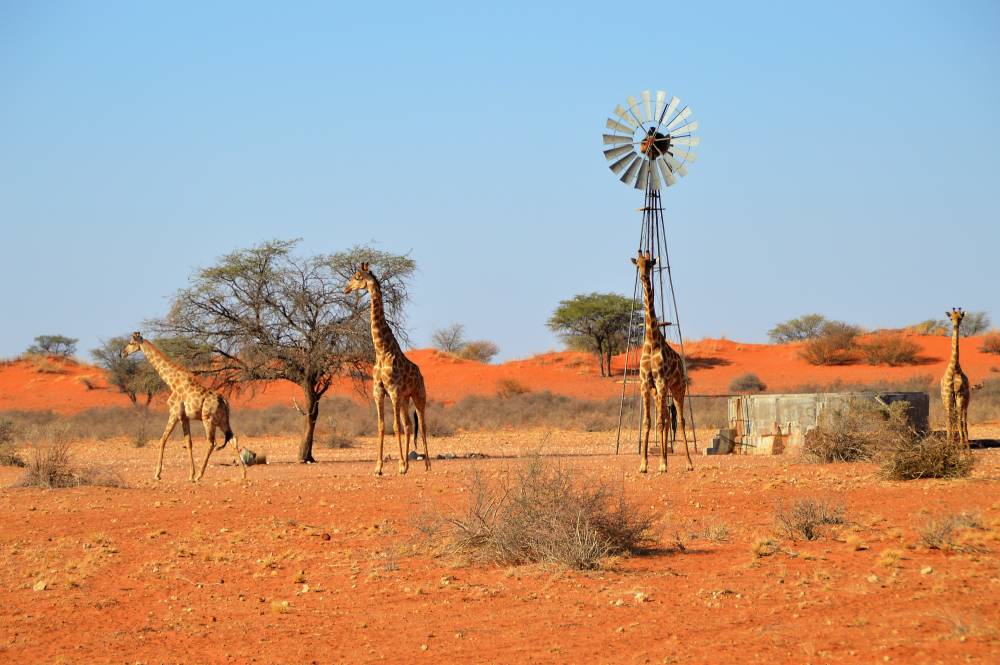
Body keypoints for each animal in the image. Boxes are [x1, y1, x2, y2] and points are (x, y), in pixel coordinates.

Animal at [121, 334, 248, 480]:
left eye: (131, 343)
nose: (122, 353)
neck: (172, 382)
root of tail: (224, 401)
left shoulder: (174, 413)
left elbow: (163, 439)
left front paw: (157, 474)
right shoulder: (184, 417)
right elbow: (188, 443)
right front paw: (190, 475)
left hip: (208, 419)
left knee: (212, 443)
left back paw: (200, 475)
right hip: (222, 421)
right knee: (233, 439)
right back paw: (243, 474)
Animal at [344, 262, 430, 474]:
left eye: (357, 276)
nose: (346, 289)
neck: (382, 351)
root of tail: (421, 374)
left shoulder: (393, 391)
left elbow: (395, 426)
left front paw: (399, 464)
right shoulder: (379, 392)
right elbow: (382, 426)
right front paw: (379, 467)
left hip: (418, 395)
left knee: (422, 424)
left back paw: (427, 464)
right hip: (405, 398)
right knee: (409, 425)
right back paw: (408, 465)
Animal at [632, 249, 696, 472]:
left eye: (650, 264)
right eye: (637, 264)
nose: (643, 276)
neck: (651, 339)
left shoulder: (660, 381)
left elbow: (659, 422)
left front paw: (661, 464)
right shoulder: (645, 383)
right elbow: (648, 422)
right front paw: (644, 464)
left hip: (677, 388)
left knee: (681, 420)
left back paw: (688, 463)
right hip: (661, 390)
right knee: (669, 419)